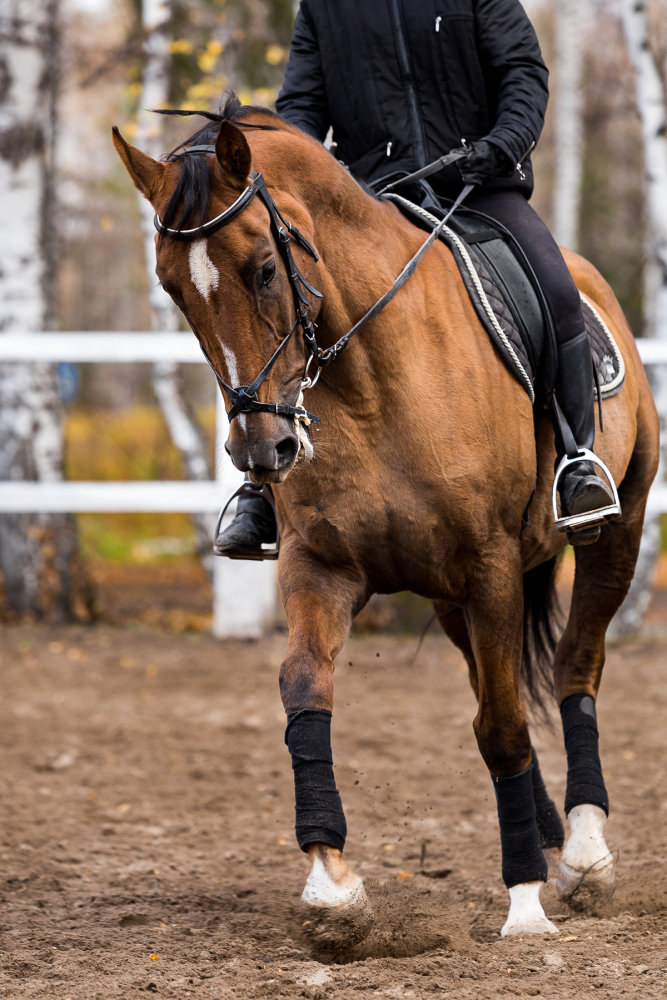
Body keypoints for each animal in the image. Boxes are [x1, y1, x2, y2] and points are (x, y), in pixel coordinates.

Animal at [112, 97, 660, 940]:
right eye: (173, 289)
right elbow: (305, 690)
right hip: (451, 596)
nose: (262, 450)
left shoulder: (490, 564)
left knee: (575, 665)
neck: (368, 382)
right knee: (491, 682)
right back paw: (546, 831)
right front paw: (331, 885)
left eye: (262, 268)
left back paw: (583, 852)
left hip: (615, 535)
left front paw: (524, 901)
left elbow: (502, 726)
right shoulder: (321, 567)